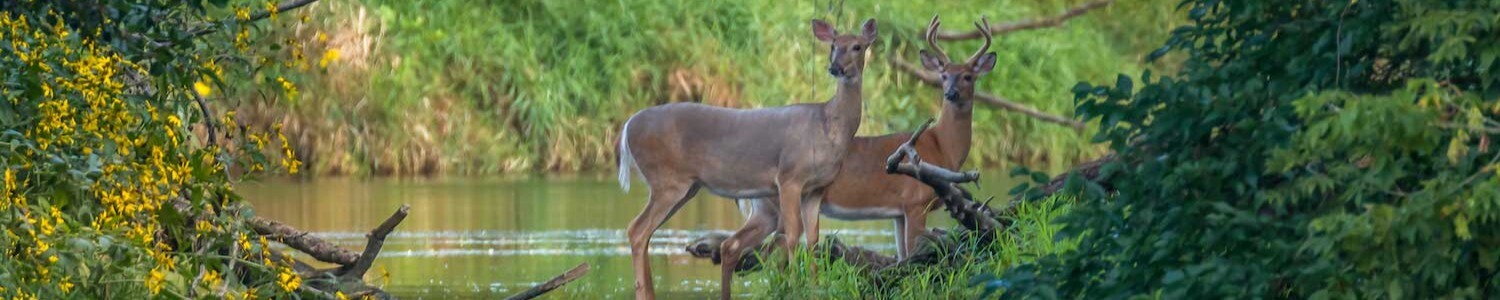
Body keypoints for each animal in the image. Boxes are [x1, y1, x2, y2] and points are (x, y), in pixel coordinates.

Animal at [615, 18, 876, 297]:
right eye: (833, 46)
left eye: (857, 46)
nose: (835, 67)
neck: (828, 127)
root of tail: (628, 125)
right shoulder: (789, 177)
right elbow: (793, 234)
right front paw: (795, 285)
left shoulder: (816, 188)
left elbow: (813, 239)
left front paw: (815, 287)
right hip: (667, 180)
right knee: (637, 230)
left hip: (686, 186)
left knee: (644, 232)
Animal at [738, 14, 996, 259]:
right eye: (943, 76)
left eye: (968, 77)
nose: (951, 93)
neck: (941, 145)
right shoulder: (916, 201)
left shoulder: (899, 212)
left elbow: (902, 256)